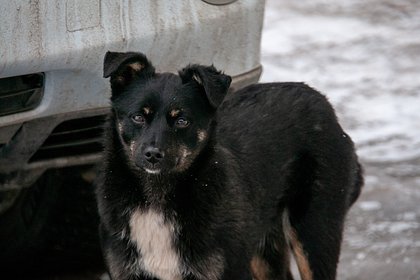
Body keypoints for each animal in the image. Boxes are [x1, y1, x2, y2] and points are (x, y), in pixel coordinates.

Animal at [96, 50, 364, 280]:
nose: (152, 154)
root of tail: (324, 103)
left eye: (182, 120)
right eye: (138, 117)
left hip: (315, 231)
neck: (157, 196)